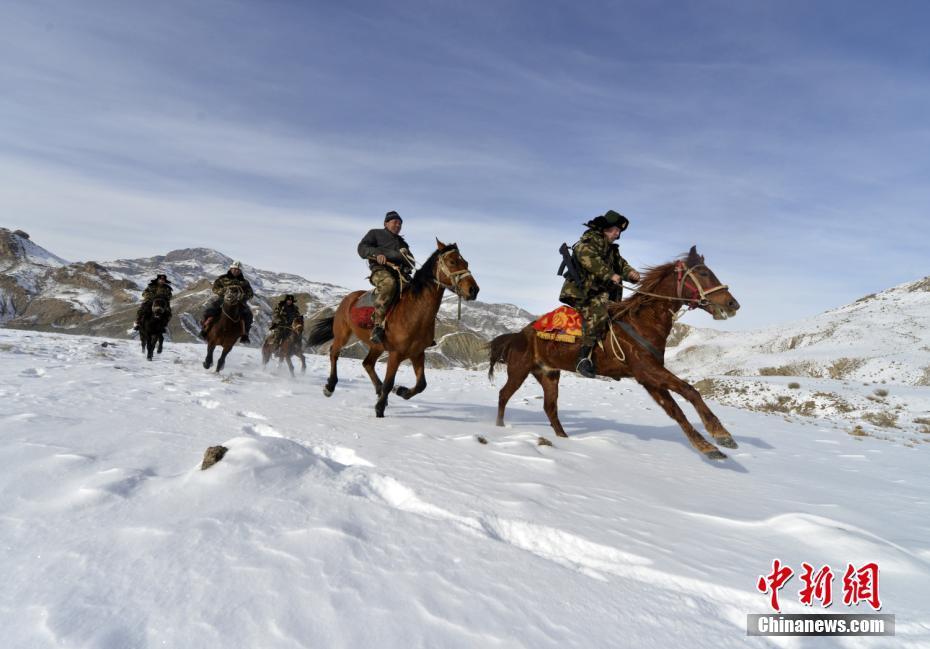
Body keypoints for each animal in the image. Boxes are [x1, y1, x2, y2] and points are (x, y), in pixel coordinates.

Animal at [308, 240, 478, 418]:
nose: (473, 290)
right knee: (334, 353)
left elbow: (421, 384)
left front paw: (401, 391)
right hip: (343, 334)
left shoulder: (417, 353)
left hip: (376, 346)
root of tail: (349, 298)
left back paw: (378, 391)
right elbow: (390, 382)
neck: (414, 312)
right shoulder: (395, 354)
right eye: (452, 262)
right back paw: (330, 386)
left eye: (466, 263)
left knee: (367, 363)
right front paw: (379, 409)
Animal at [486, 244, 740, 460]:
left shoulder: (649, 379)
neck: (643, 322)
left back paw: (564, 439)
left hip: (549, 374)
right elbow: (689, 392)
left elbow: (676, 409)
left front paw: (710, 443)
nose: (732, 304)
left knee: (550, 407)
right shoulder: (648, 372)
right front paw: (718, 436)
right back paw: (499, 428)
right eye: (704, 273)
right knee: (504, 395)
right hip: (519, 370)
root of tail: (518, 334)